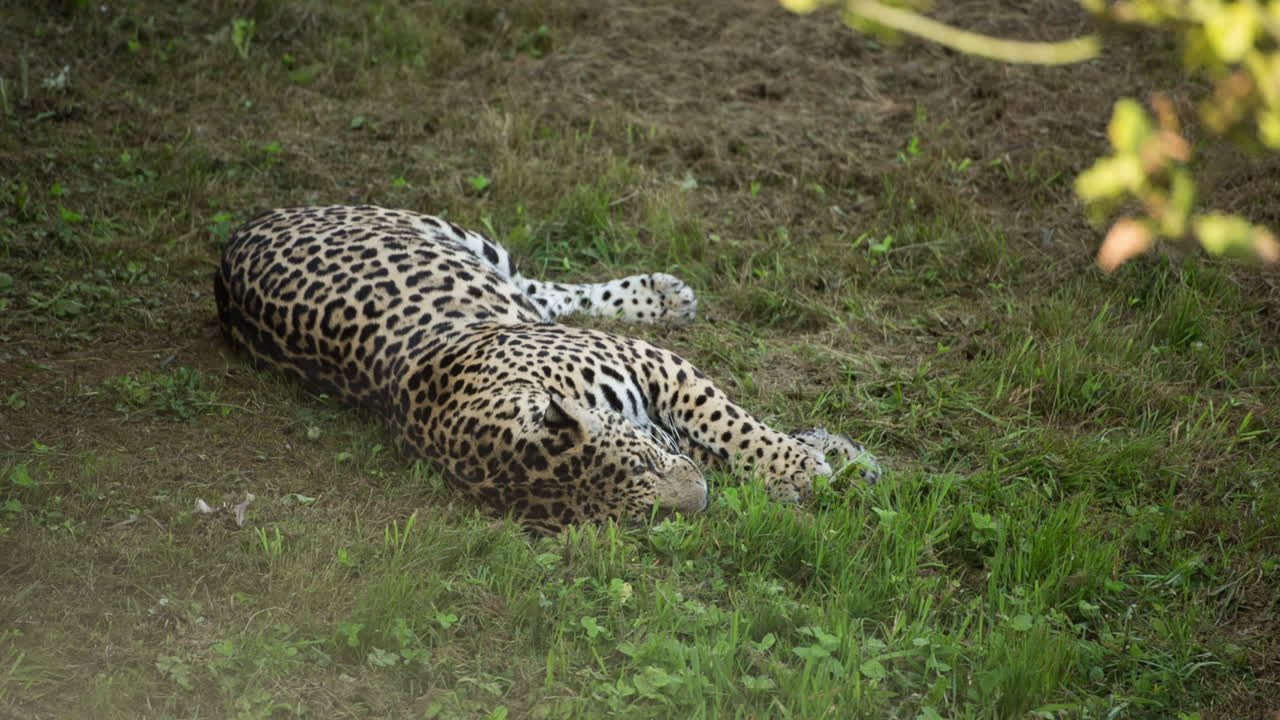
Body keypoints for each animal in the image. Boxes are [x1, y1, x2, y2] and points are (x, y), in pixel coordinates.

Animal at [214, 205, 881, 535]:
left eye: (642, 467)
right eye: (637, 517)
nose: (700, 504)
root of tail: (226, 250)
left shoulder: (656, 365)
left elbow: (730, 425)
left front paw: (802, 463)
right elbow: (713, 442)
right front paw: (828, 458)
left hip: (456, 236)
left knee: (537, 284)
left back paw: (664, 297)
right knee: (539, 293)